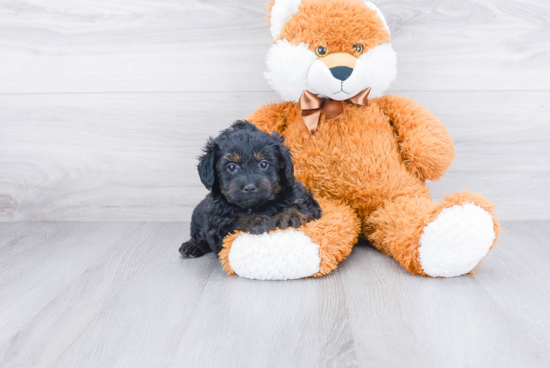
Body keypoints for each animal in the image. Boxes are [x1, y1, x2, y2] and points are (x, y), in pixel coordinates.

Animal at [180, 119, 324, 258]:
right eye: (231, 167)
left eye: (264, 164)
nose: (249, 187)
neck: (257, 206)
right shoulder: (217, 222)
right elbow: (235, 222)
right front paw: (257, 221)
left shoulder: (300, 196)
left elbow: (301, 205)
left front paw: (289, 215)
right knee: (200, 236)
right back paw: (191, 246)